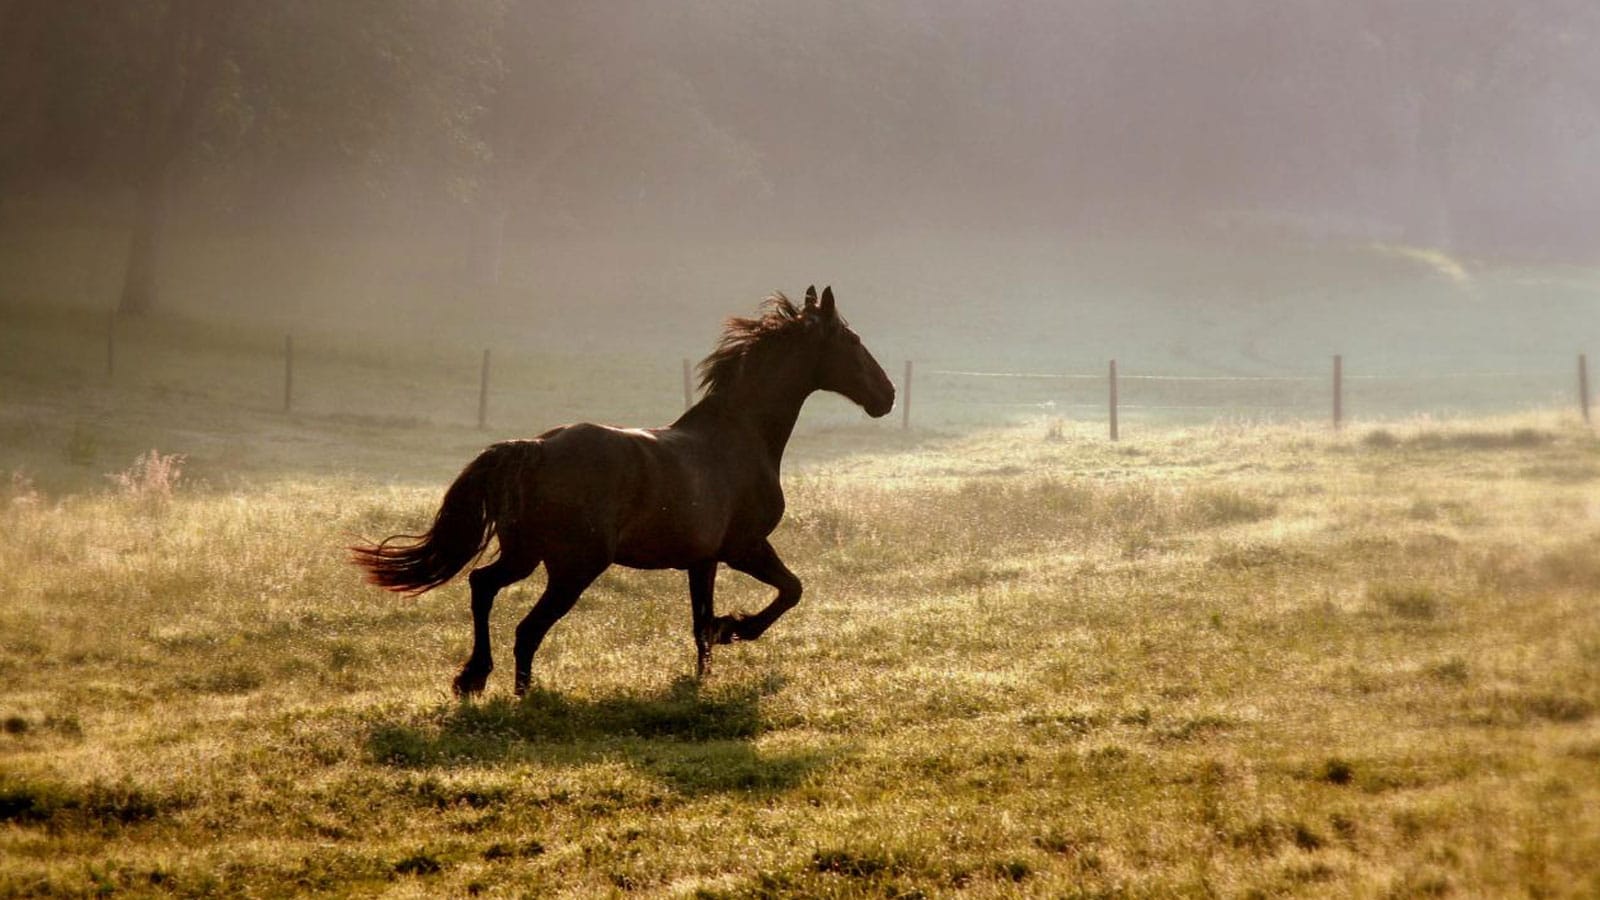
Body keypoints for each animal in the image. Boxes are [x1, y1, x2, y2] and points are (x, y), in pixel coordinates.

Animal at [350, 285, 896, 695]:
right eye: (852, 340)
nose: (887, 396)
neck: (739, 436)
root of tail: (534, 448)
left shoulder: (703, 559)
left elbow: (700, 624)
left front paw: (704, 674)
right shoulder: (744, 546)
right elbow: (790, 590)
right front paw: (736, 628)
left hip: (526, 555)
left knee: (482, 585)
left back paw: (473, 678)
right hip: (574, 566)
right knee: (527, 628)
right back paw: (524, 694)